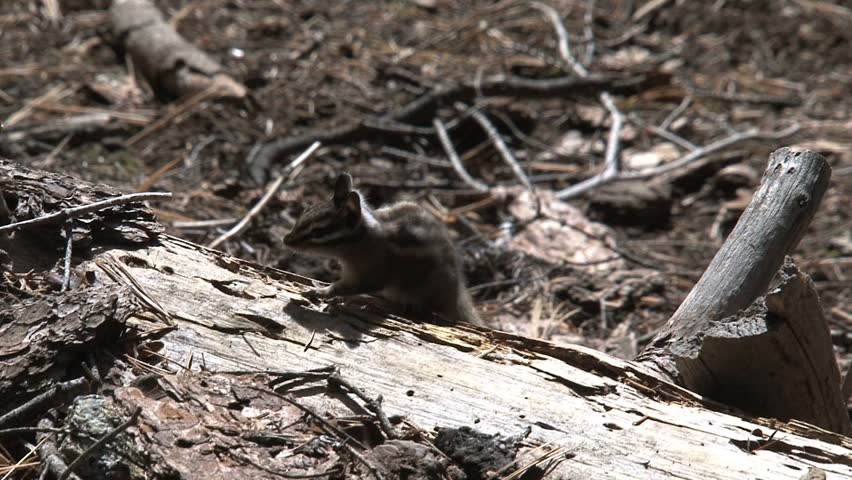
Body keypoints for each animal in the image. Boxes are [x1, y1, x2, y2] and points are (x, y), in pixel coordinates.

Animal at [284, 173, 482, 325]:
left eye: (318, 232)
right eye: (306, 211)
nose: (286, 240)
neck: (364, 240)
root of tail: (456, 293)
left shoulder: (369, 276)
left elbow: (345, 287)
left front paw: (323, 291)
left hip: (414, 291)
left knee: (405, 308)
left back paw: (368, 299)